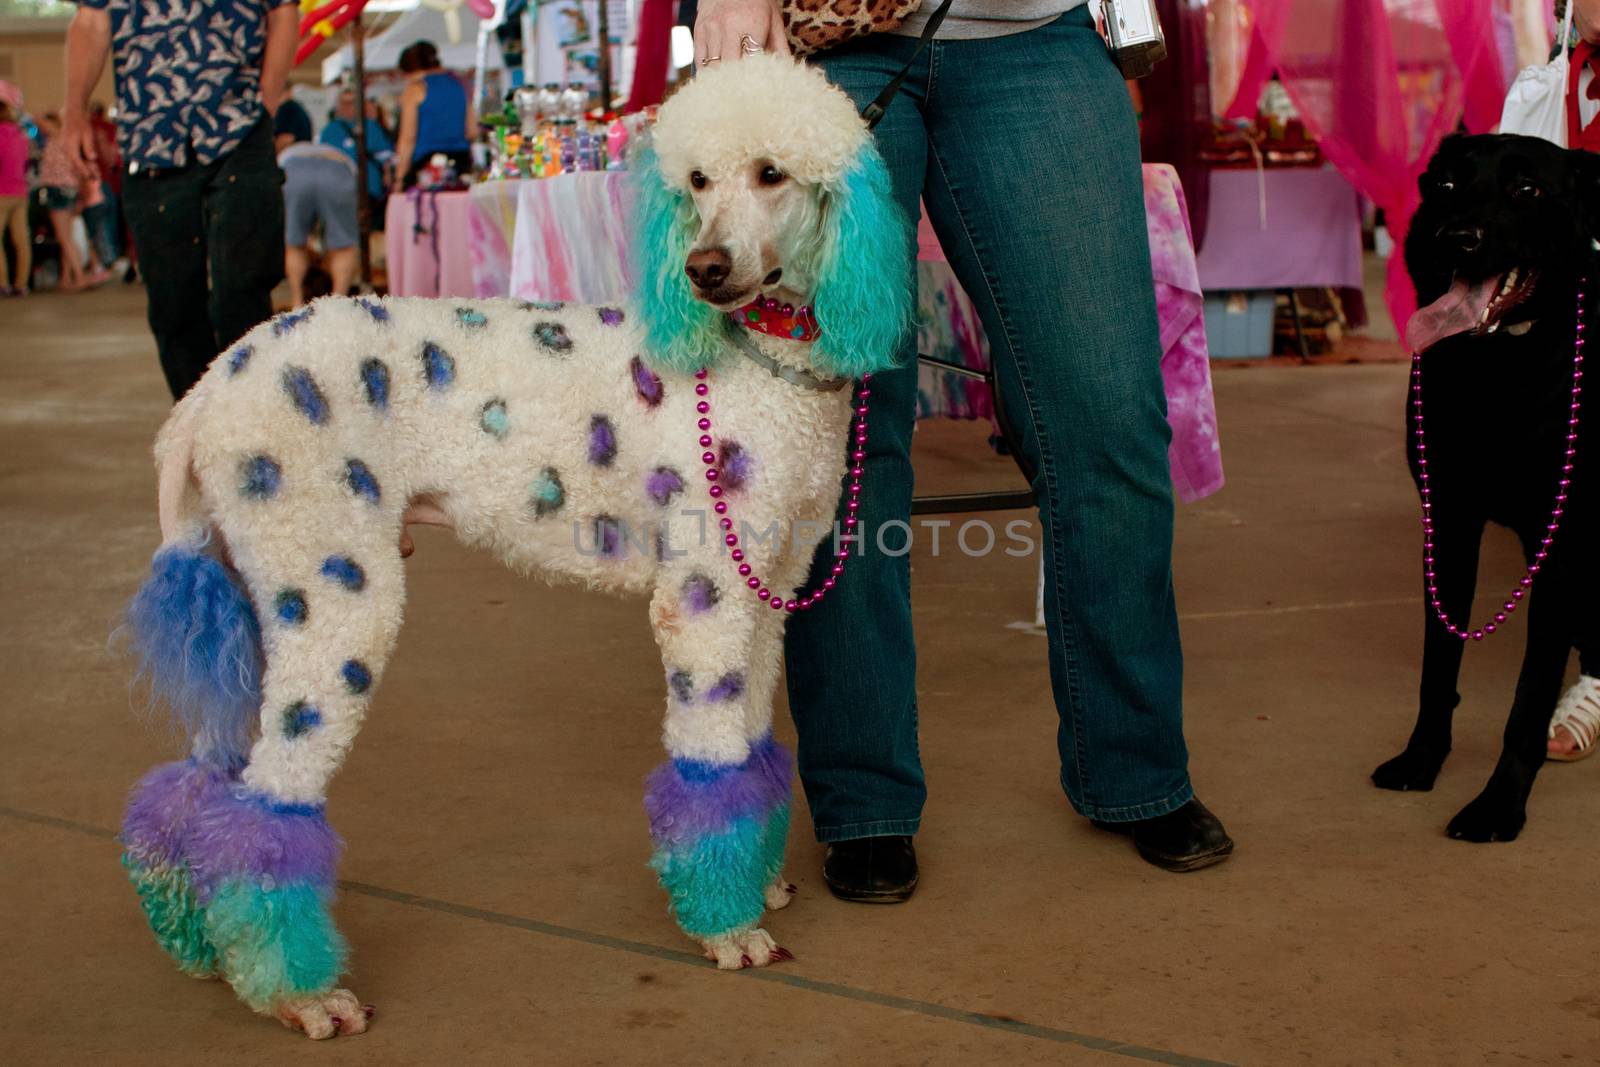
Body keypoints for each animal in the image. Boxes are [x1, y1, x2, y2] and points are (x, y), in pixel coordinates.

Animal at [1376, 133, 1600, 838]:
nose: (1459, 238)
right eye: (1447, 184)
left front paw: (1499, 804)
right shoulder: (1449, 526)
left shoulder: (1562, 550)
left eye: (1527, 189)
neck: (1500, 368)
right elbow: (1437, 666)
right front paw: (1422, 760)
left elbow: (1528, 700)